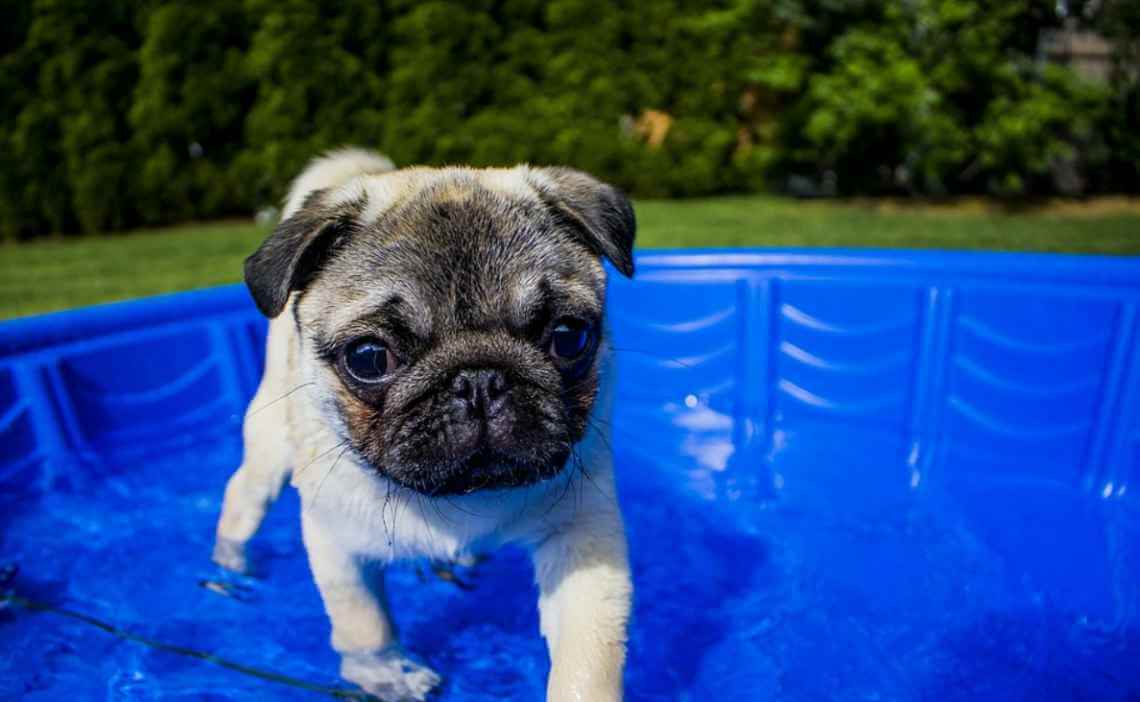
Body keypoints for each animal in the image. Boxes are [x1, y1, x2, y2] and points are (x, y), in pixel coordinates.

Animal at [212, 149, 633, 702]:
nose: (478, 380)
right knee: (243, 496)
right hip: (270, 448)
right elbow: (363, 622)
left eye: (569, 337)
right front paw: (385, 671)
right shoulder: (336, 541)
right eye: (368, 358)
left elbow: (587, 660)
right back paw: (228, 566)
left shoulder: (583, 540)